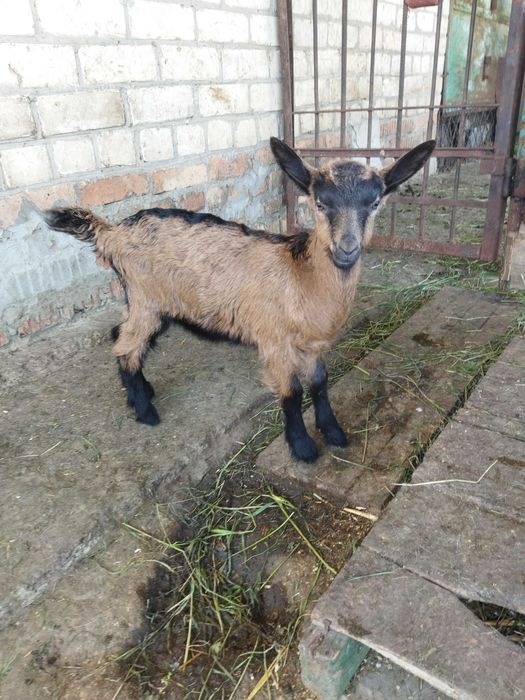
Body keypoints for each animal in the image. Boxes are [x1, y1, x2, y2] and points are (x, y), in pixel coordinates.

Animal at [45, 137, 435, 463]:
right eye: (320, 202)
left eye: (375, 202)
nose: (347, 249)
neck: (301, 276)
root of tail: (112, 233)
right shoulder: (274, 340)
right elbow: (292, 391)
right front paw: (303, 448)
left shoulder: (309, 346)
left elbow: (320, 382)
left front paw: (335, 433)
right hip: (146, 296)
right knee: (126, 346)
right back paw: (145, 412)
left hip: (152, 302)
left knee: (121, 335)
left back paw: (143, 391)